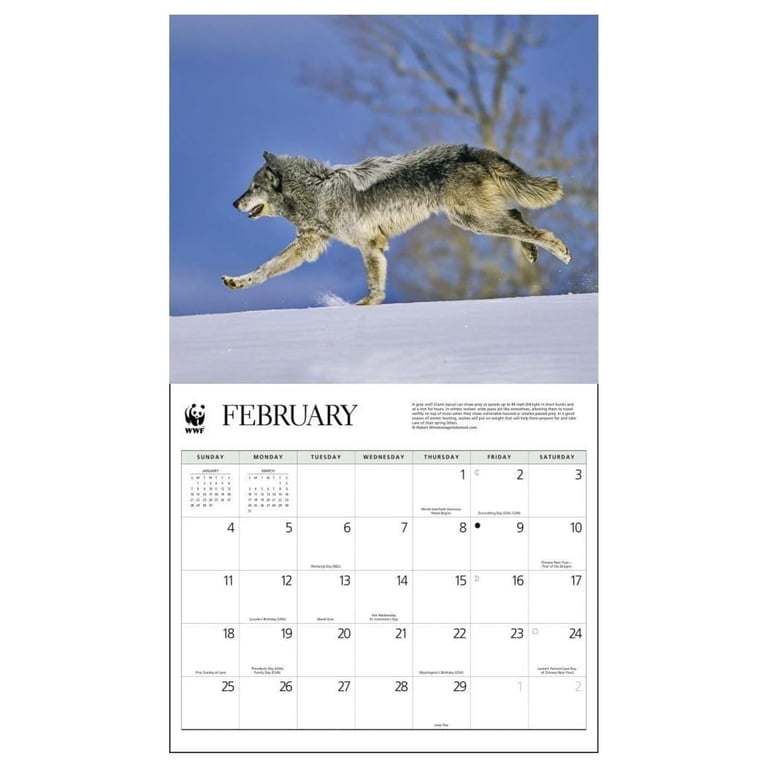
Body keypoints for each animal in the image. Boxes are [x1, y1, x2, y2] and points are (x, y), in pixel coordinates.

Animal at [223, 144, 570, 305]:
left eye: (253, 187)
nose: (234, 204)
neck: (318, 191)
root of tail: (466, 149)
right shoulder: (310, 244)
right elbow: (267, 268)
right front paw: (238, 282)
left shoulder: (369, 245)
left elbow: (375, 289)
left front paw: (361, 307)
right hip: (474, 220)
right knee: (518, 217)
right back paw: (531, 254)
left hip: (474, 221)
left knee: (535, 230)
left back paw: (560, 251)